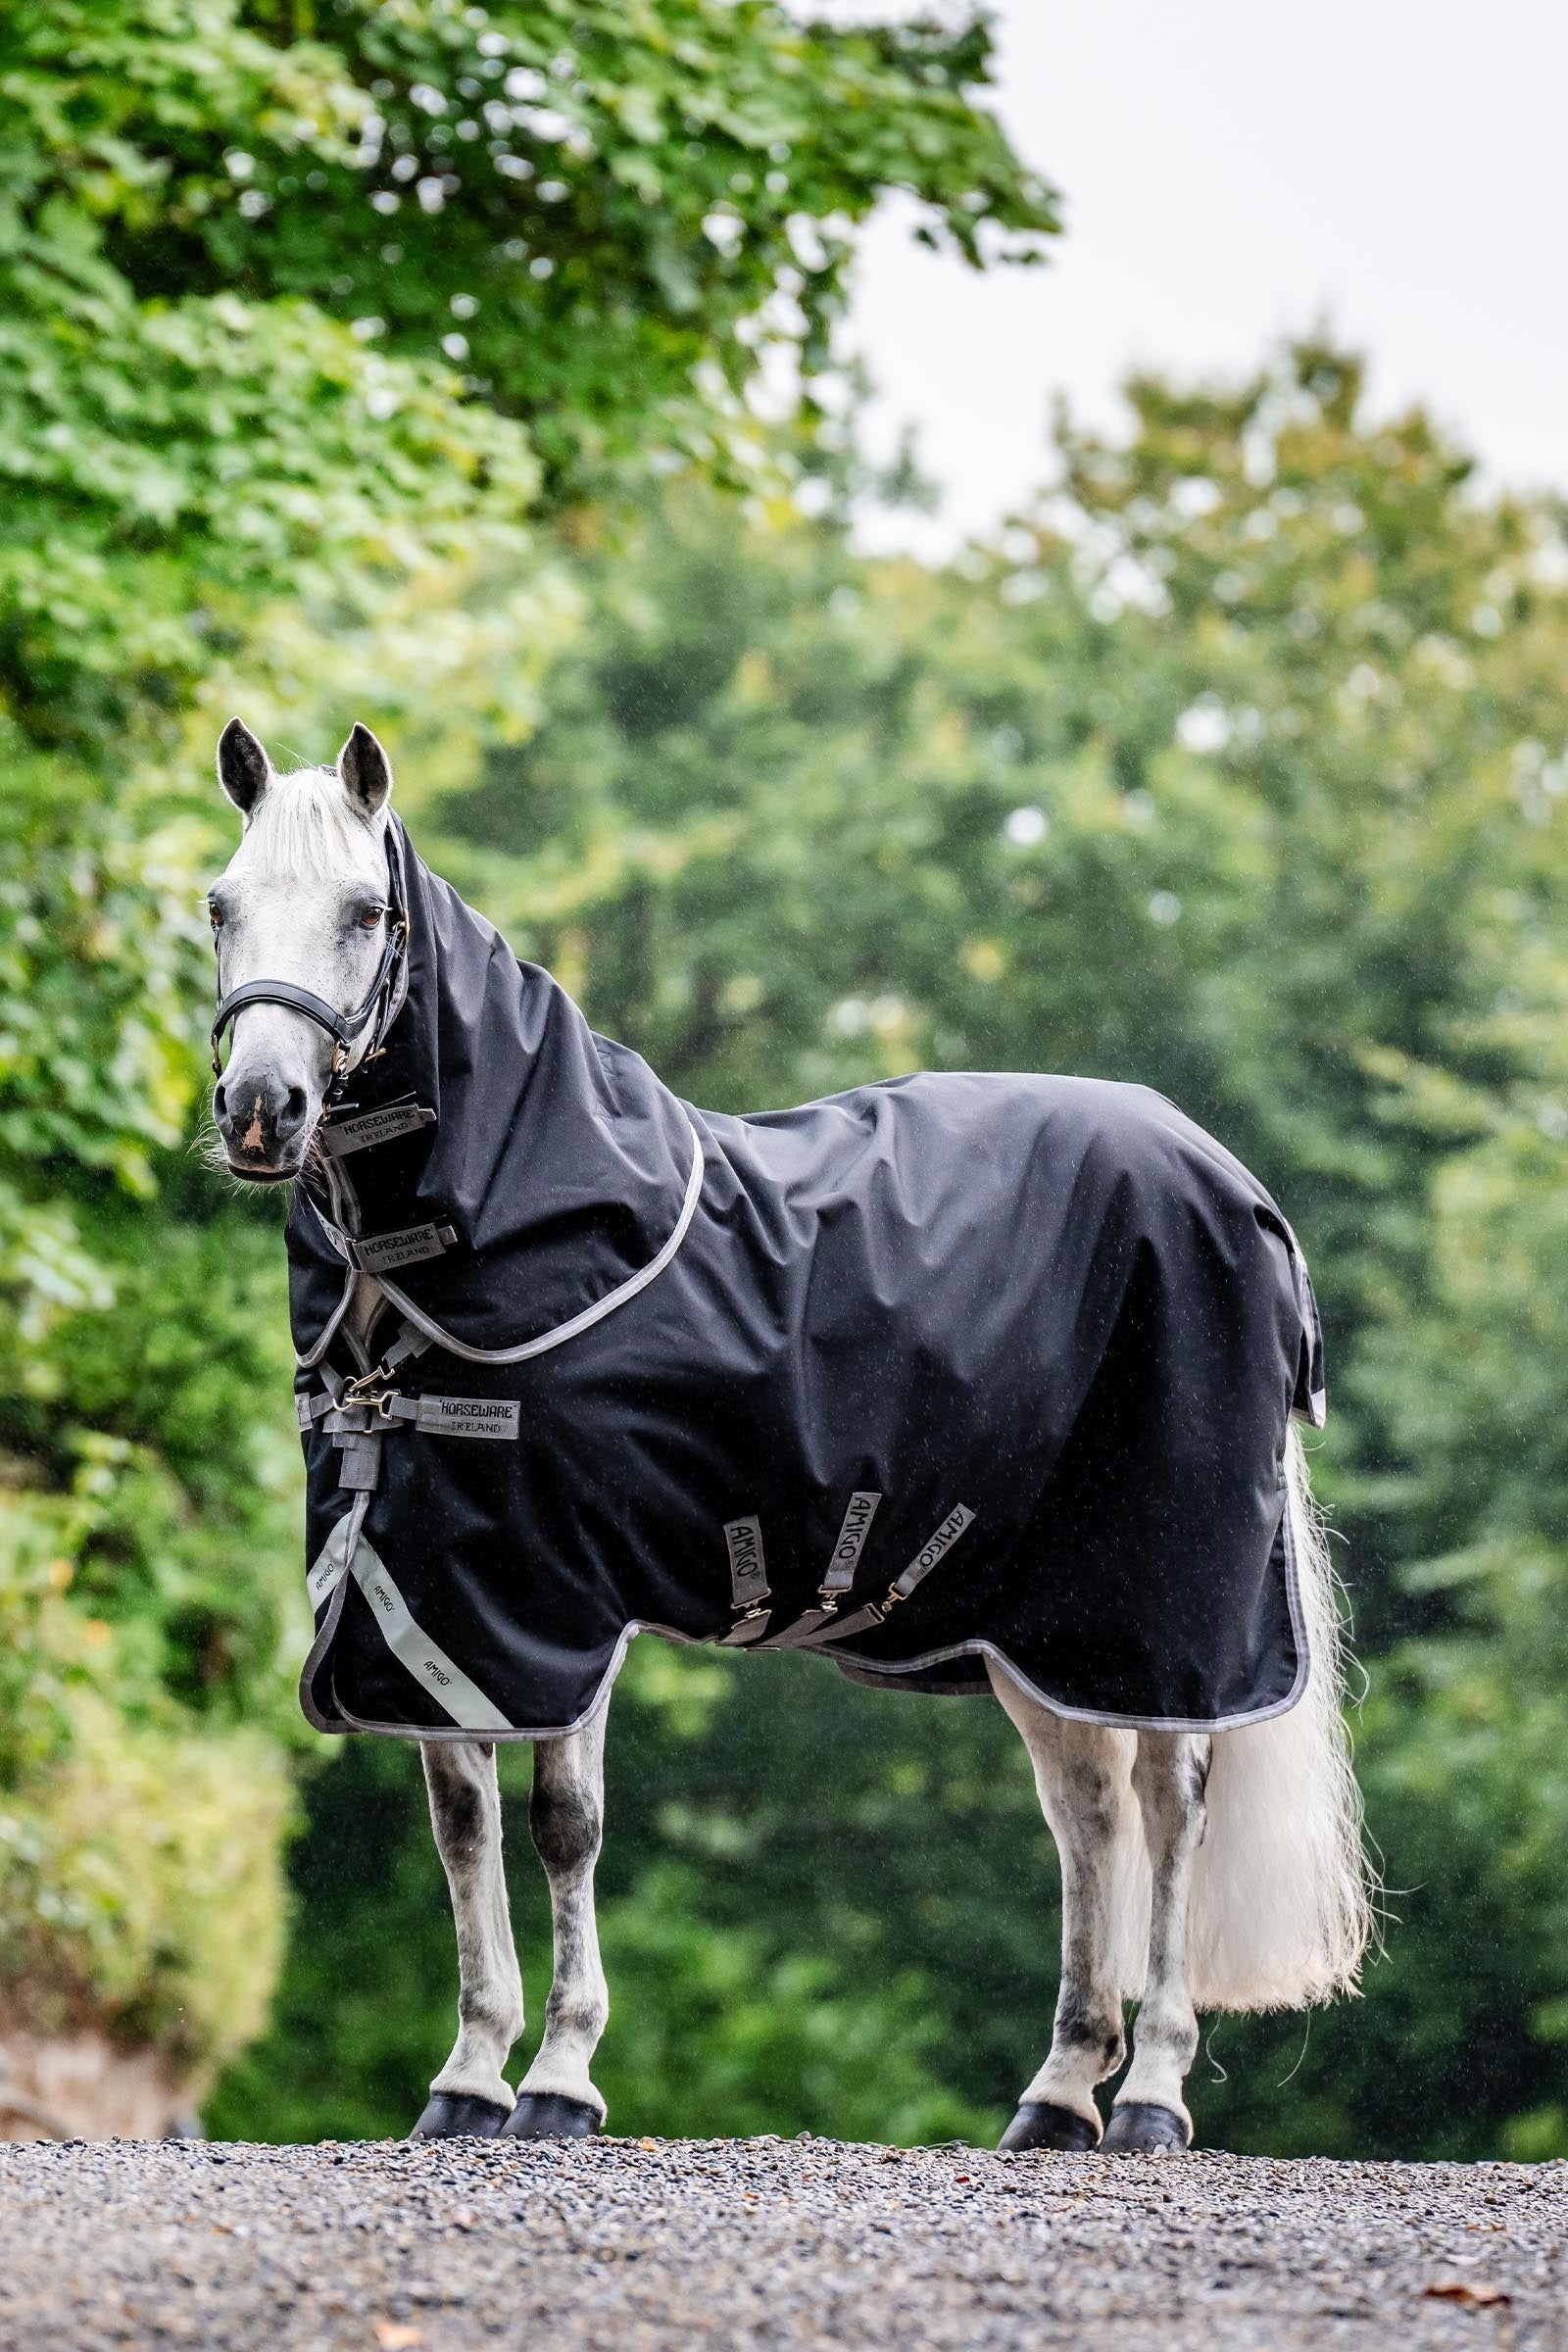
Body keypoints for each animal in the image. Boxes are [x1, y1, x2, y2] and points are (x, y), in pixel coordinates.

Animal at [204, 716, 1371, 2155]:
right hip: (1052, 1625)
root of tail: (1236, 1187)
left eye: (366, 912)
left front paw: (559, 2080)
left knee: (1171, 1802)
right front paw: (466, 2078)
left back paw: (1149, 2093)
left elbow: (564, 1825)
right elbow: (462, 1828)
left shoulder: (560, 1596)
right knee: (1090, 1812)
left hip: (1169, 1603)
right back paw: (1055, 2095)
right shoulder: (438, 1599)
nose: (261, 1110)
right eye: (221, 905)